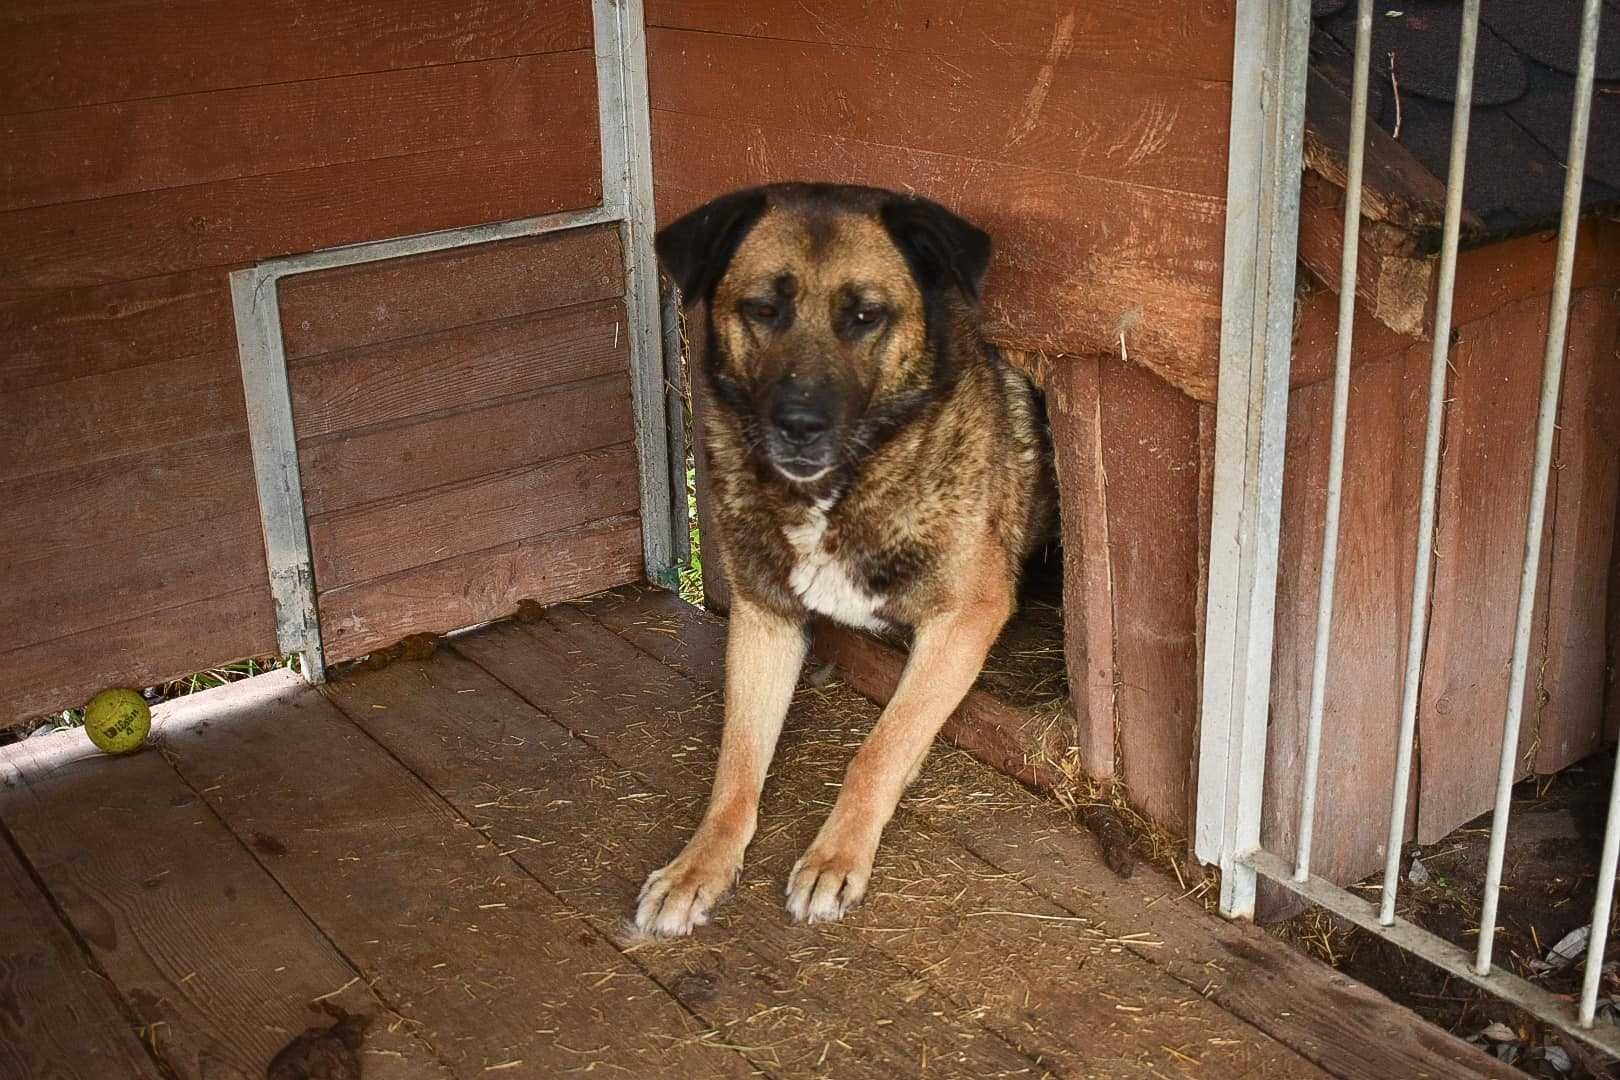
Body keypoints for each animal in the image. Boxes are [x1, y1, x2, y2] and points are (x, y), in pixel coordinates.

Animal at [638, 181, 1056, 932]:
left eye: (865, 316)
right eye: (762, 309)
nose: (799, 426)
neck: (838, 490)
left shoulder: (965, 619)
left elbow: (880, 747)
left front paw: (836, 855)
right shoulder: (763, 619)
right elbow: (736, 763)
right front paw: (699, 865)